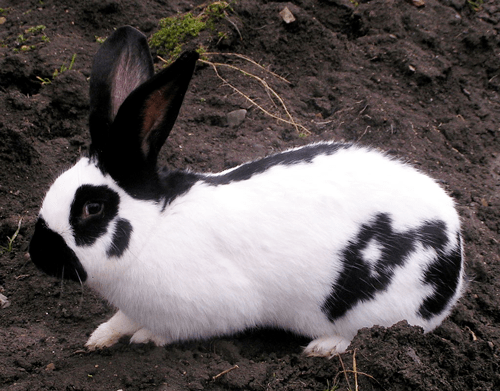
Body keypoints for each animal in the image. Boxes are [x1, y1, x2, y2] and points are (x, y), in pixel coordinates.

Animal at [28, 26, 464, 358]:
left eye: (92, 208)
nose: (36, 255)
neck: (153, 228)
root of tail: (456, 254)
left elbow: (168, 330)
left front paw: (145, 338)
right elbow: (121, 319)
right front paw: (99, 337)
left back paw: (322, 347)